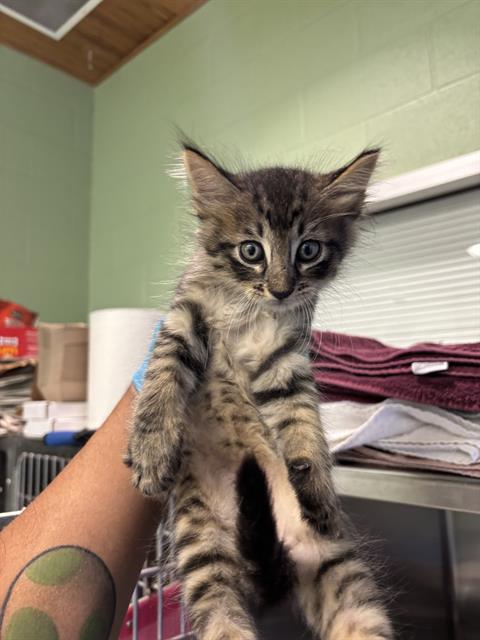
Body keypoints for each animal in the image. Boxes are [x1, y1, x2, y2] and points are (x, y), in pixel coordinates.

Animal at [126, 145, 394, 640]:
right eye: (251, 250)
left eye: (308, 250)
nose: (281, 289)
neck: (250, 310)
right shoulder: (184, 316)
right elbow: (163, 372)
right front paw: (151, 448)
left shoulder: (285, 358)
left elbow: (303, 421)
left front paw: (318, 485)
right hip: (203, 554)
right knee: (222, 619)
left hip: (340, 568)